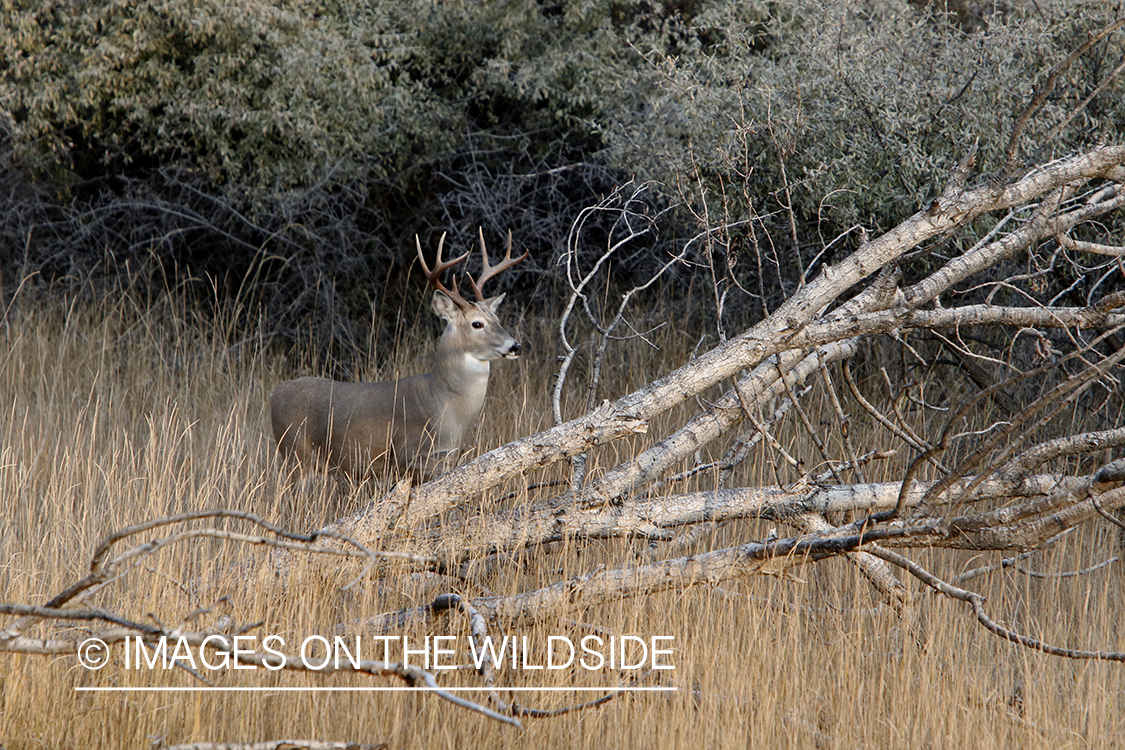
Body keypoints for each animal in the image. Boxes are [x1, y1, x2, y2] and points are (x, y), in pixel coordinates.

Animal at [267, 229, 526, 481]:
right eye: (477, 324)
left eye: (498, 320)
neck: (445, 402)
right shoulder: (407, 454)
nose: (515, 346)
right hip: (295, 454)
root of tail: (274, 394)